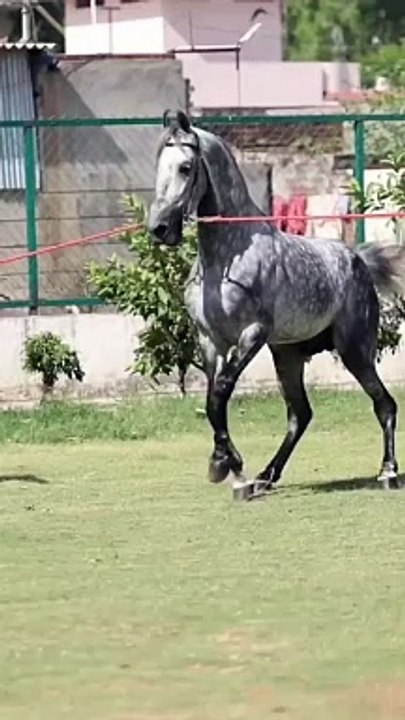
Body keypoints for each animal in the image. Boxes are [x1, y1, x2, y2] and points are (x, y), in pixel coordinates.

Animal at [148, 109, 405, 500]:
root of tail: (357, 259)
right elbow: (212, 400)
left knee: (384, 404)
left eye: (186, 167)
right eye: (158, 164)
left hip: (354, 349)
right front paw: (229, 468)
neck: (227, 259)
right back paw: (265, 477)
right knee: (300, 415)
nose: (160, 228)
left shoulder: (252, 335)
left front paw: (229, 469)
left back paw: (387, 472)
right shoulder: (210, 341)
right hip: (288, 355)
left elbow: (220, 392)